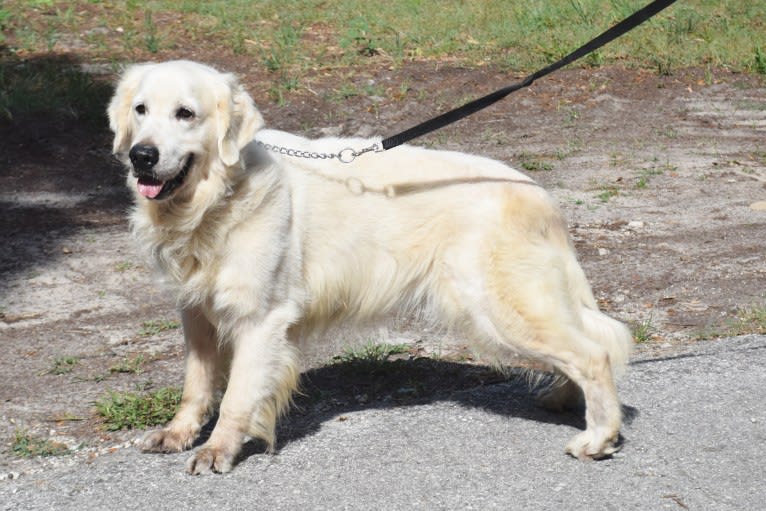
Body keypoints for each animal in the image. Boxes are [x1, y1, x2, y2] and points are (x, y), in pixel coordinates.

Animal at [108, 60, 636, 476]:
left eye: (186, 113)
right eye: (141, 110)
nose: (141, 156)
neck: (217, 199)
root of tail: (538, 193)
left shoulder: (260, 320)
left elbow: (237, 396)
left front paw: (218, 449)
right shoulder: (196, 313)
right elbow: (196, 386)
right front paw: (178, 433)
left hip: (499, 309)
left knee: (593, 354)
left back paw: (599, 437)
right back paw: (564, 399)